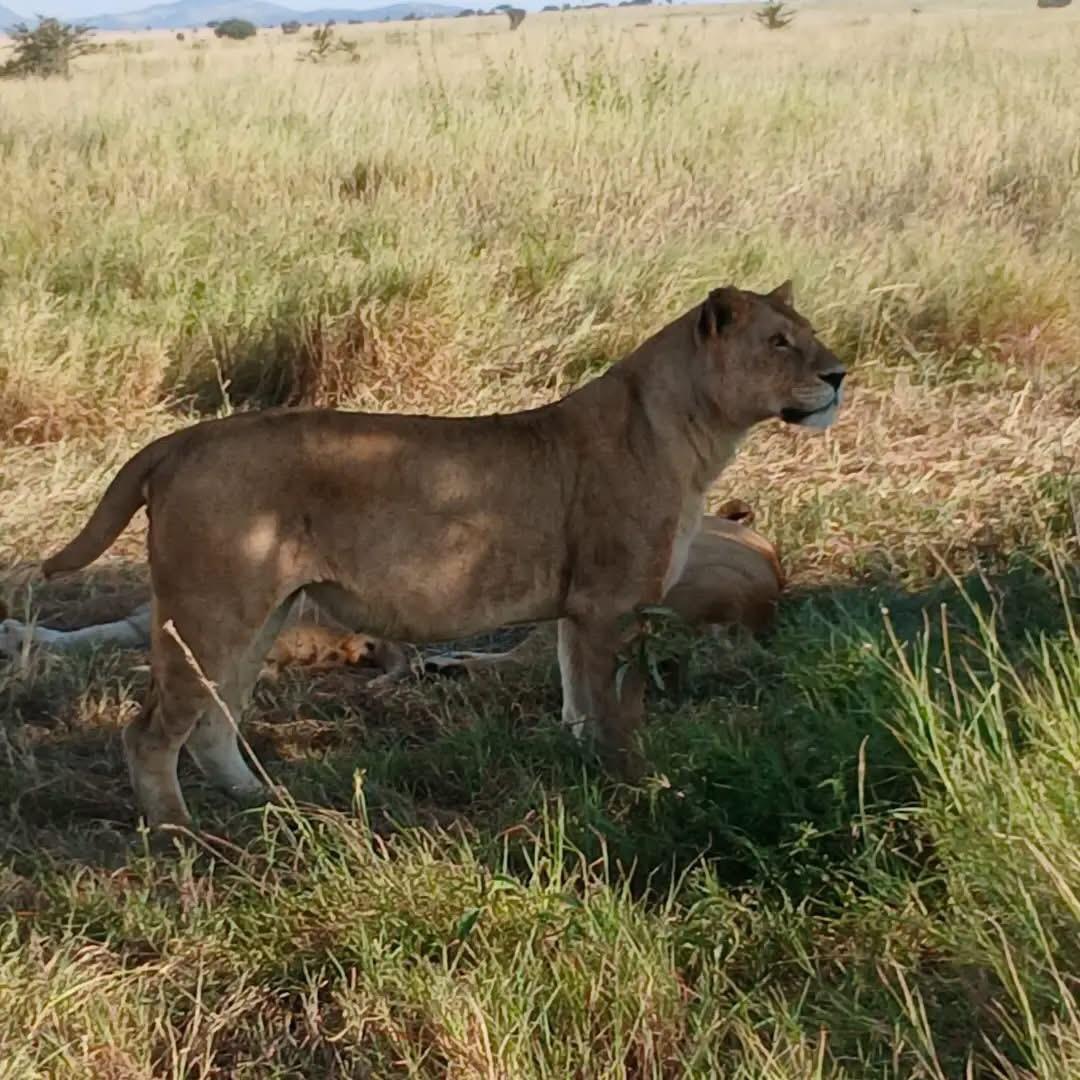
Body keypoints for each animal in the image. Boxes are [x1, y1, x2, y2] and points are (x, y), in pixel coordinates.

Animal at [40, 281, 845, 828]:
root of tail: (180, 440)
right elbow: (620, 713)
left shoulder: (577, 614)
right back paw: (179, 834)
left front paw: (584, 777)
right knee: (151, 731)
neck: (692, 431)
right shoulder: (612, 606)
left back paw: (263, 800)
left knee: (213, 721)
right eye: (780, 342)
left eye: (807, 333)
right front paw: (637, 790)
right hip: (212, 613)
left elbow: (578, 706)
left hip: (258, 617)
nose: (839, 376)